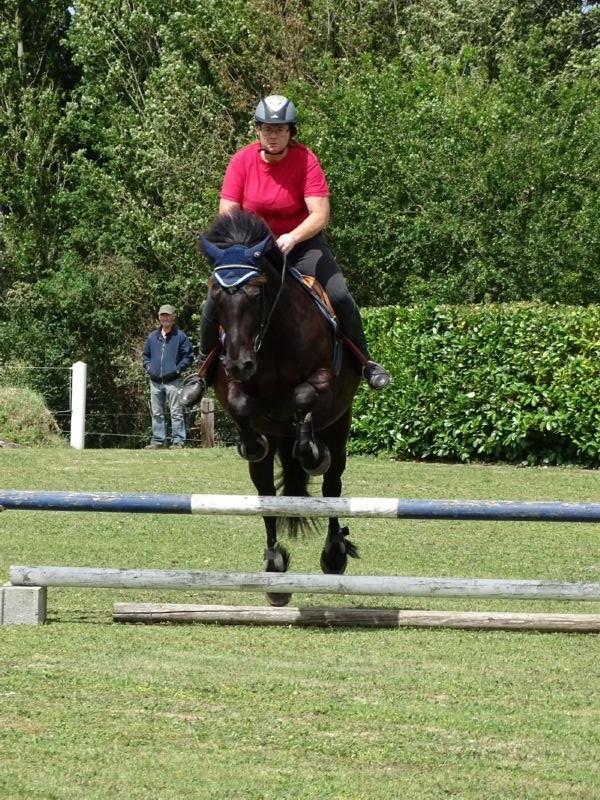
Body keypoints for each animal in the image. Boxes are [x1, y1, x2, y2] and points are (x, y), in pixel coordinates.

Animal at [199, 209, 361, 605]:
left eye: (256, 290)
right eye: (215, 294)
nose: (239, 363)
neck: (269, 342)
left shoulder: (323, 381)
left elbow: (303, 398)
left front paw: (312, 455)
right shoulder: (231, 386)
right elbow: (241, 404)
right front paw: (250, 442)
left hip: (339, 425)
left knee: (332, 486)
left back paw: (333, 554)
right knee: (267, 498)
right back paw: (274, 568)